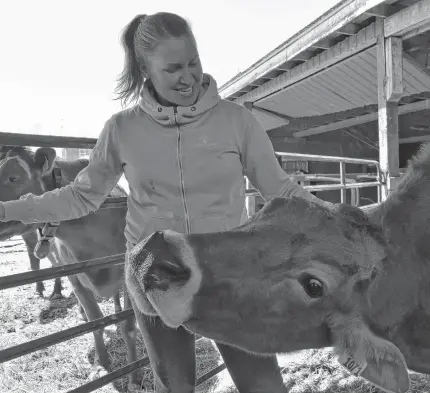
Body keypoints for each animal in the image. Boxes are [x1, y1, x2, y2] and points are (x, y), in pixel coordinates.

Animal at [0, 145, 140, 390]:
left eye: (13, 177)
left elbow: (128, 326)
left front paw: (135, 378)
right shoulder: (75, 277)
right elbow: (96, 323)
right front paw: (101, 365)